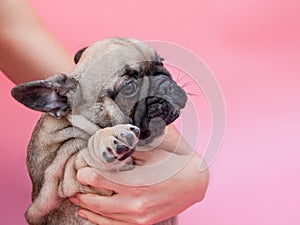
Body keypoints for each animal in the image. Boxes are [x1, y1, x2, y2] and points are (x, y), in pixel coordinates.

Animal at [11, 37, 186, 224]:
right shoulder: (64, 175)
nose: (165, 85)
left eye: (162, 62)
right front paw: (109, 138)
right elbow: (80, 157)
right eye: (129, 87)